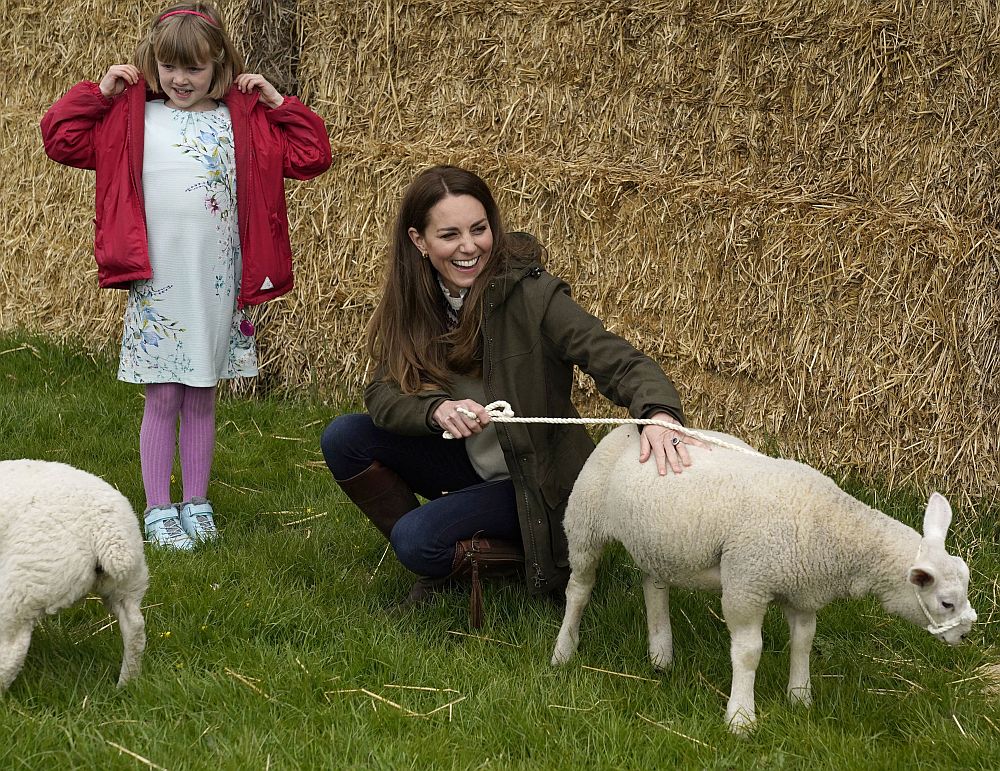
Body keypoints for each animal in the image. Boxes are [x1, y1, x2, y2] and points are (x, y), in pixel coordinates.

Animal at [0, 458, 148, 692]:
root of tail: (105, 531)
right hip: (129, 582)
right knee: (134, 628)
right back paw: (126, 682)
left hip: (22, 586)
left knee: (11, 652)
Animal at [548, 426, 976, 732]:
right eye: (946, 602)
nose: (965, 635)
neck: (832, 528)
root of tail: (628, 428)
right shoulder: (746, 583)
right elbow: (748, 652)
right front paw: (740, 718)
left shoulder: (802, 589)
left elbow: (803, 642)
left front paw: (800, 698)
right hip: (584, 524)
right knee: (579, 590)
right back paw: (564, 650)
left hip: (659, 541)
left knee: (654, 584)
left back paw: (661, 655)